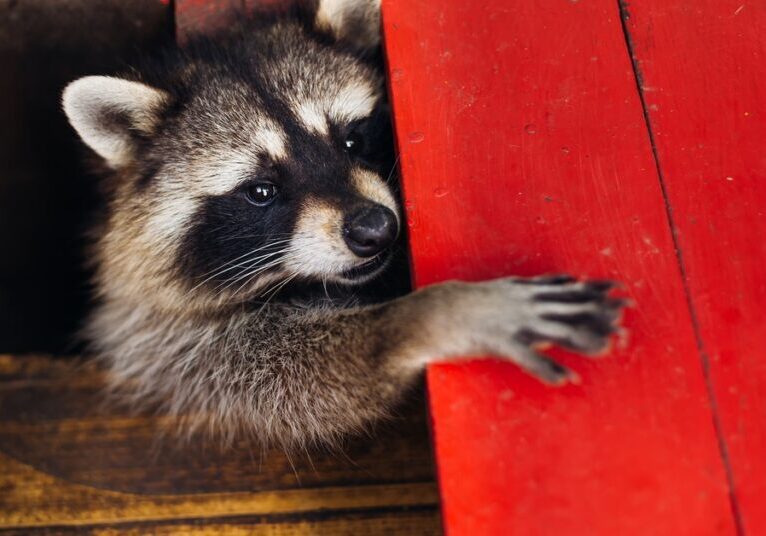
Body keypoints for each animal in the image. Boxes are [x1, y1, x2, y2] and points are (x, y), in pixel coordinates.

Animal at [62, 0, 625, 449]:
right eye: (261, 191)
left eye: (353, 139)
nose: (375, 229)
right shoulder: (161, 337)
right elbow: (284, 380)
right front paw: (429, 316)